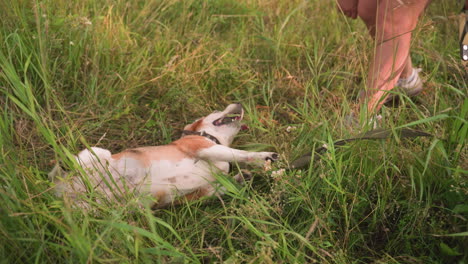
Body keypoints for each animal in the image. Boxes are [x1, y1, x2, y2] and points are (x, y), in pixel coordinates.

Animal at [49, 103, 280, 208]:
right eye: (215, 110)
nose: (239, 104)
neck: (212, 137)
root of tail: (63, 190)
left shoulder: (198, 193)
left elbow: (221, 186)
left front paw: (243, 177)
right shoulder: (202, 147)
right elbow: (239, 154)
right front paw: (264, 156)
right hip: (98, 153)